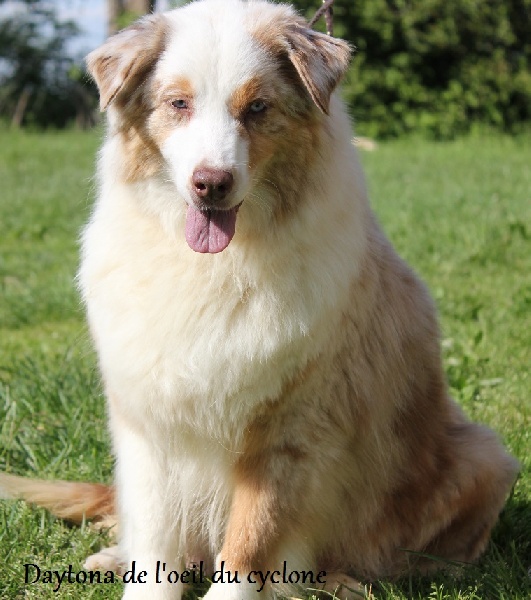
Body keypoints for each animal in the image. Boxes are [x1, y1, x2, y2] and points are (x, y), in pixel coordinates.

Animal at [0, 1, 516, 600]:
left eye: (257, 107)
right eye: (178, 103)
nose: (211, 183)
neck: (214, 268)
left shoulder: (290, 431)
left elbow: (249, 543)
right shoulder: (148, 420)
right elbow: (154, 538)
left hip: (484, 459)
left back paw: (341, 581)